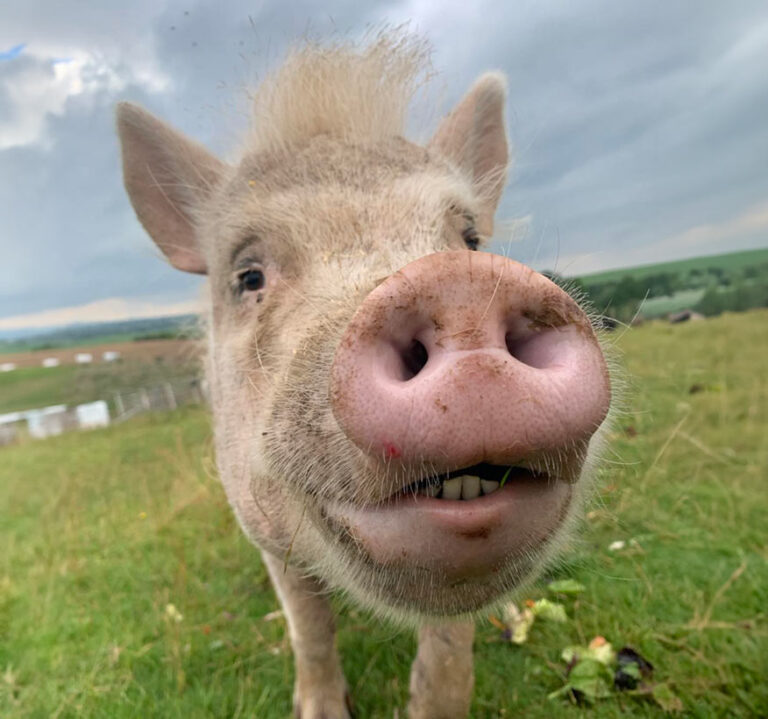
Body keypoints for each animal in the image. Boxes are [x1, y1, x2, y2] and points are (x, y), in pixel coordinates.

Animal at [115, 35, 612, 719]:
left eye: (470, 238)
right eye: (248, 275)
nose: (458, 285)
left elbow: (449, 648)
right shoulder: (261, 526)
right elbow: (310, 626)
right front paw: (319, 706)